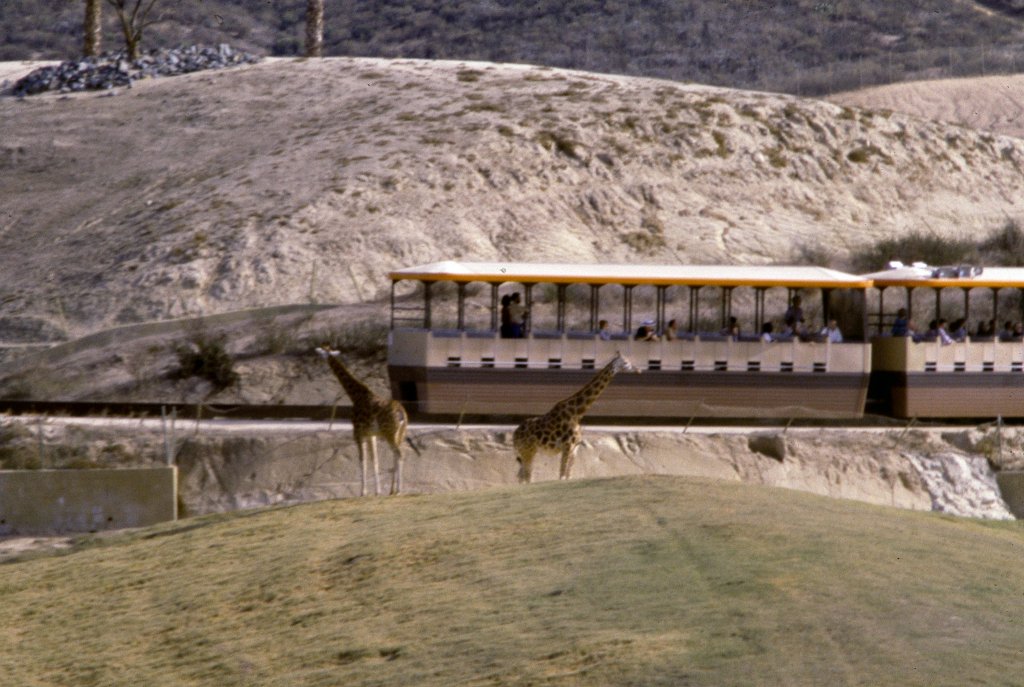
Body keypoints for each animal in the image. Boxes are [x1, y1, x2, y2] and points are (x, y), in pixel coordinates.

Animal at [316, 345, 409, 496]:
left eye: (323, 351)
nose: (318, 354)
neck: (356, 396)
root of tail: (402, 415)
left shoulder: (357, 432)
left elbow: (362, 460)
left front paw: (363, 492)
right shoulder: (371, 435)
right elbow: (375, 460)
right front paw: (377, 491)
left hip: (389, 433)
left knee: (399, 454)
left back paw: (399, 490)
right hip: (400, 433)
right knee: (396, 454)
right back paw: (392, 490)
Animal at [513, 352, 637, 484]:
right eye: (626, 362)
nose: (638, 370)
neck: (577, 413)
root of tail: (514, 435)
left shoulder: (575, 447)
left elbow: (568, 475)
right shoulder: (567, 445)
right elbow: (562, 475)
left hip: (527, 452)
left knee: (522, 477)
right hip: (527, 451)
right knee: (526, 478)